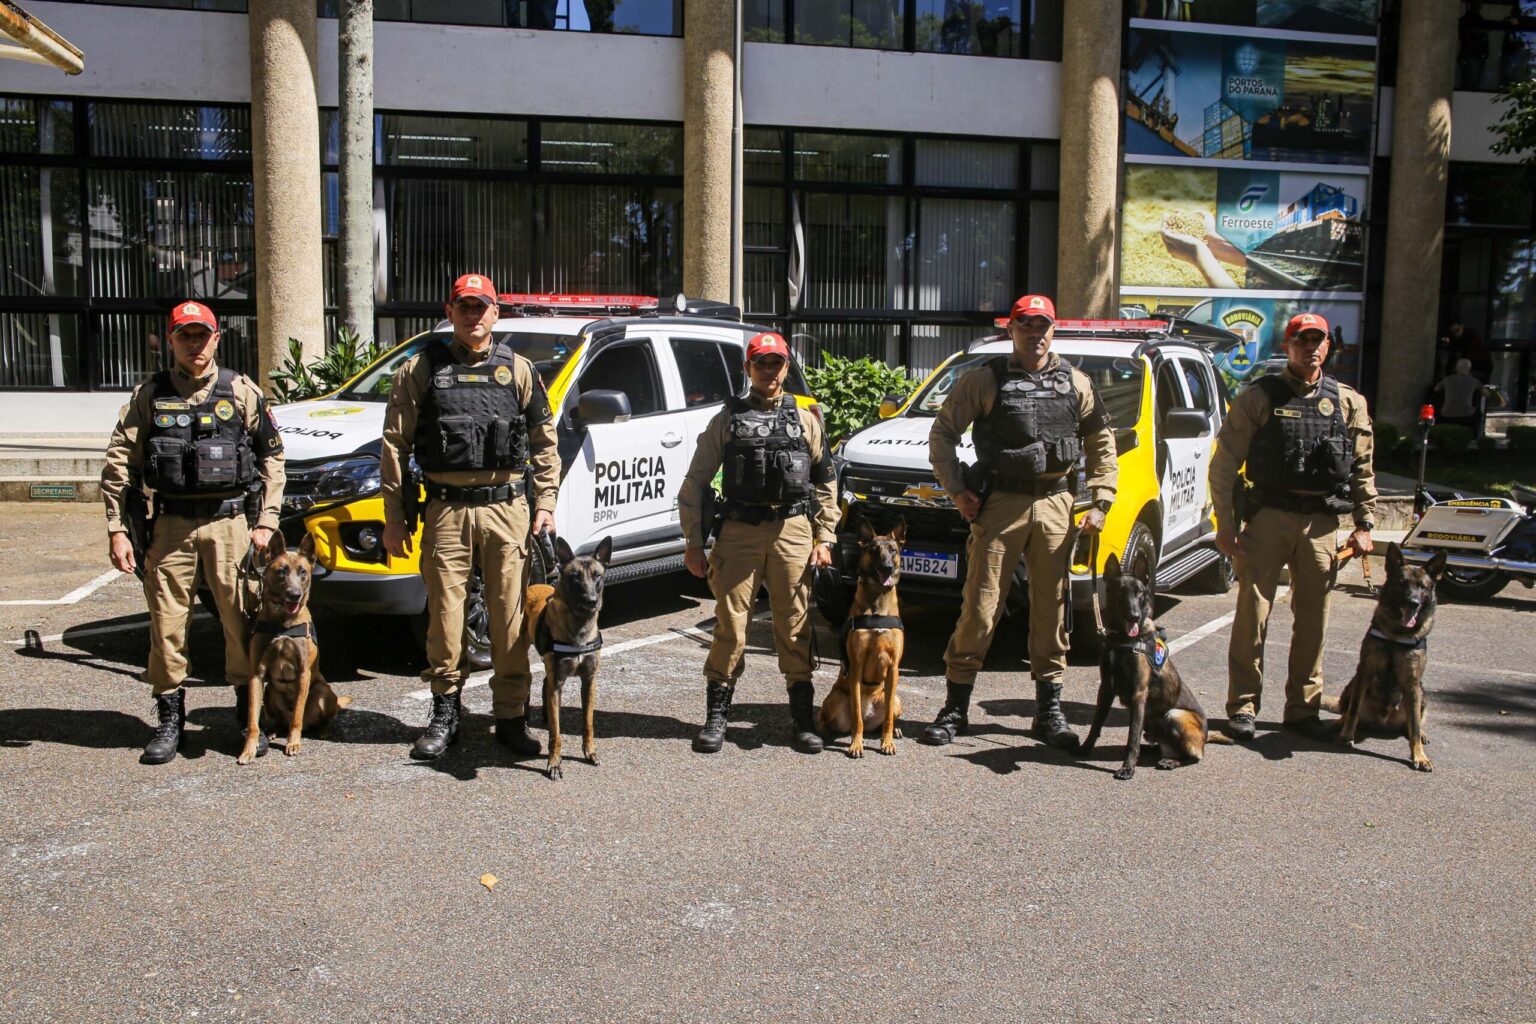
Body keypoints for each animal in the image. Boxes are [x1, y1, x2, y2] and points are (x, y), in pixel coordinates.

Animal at [236, 534, 348, 764]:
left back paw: (323, 730)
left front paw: (293, 743)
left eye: (303, 572)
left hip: (322, 690)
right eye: (281, 571)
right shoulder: (257, 675)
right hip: (270, 691)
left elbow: (297, 714)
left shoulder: (304, 673)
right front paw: (249, 749)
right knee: (275, 719)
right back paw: (272, 731)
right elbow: (252, 721)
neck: (282, 622)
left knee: (318, 717)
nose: (295, 594)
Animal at [519, 534, 608, 779]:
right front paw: (554, 763)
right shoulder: (558, 682)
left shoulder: (589, 681)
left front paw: (590, 753)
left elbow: (588, 723)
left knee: (544, 683)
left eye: (597, 575)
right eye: (575, 576)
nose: (592, 600)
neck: (579, 626)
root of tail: (533, 585)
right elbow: (555, 734)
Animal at [811, 515, 903, 758]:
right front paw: (856, 744)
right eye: (874, 550)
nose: (887, 567)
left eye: (893, 550)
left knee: (887, 715)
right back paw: (821, 731)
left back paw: (894, 731)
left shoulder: (893, 668)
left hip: (896, 698)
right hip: (837, 697)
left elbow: (888, 718)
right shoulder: (856, 666)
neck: (878, 603)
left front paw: (887, 742)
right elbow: (856, 717)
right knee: (831, 717)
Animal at [1075, 555, 1228, 779]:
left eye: (1140, 592)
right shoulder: (1105, 689)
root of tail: (1206, 737)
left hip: (1174, 715)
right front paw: (1085, 748)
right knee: (1158, 745)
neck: (1123, 638)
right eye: (1121, 591)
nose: (1134, 615)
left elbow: (1132, 735)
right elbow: (1096, 724)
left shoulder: (1139, 694)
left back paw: (1170, 761)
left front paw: (1128, 767)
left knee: (1193, 756)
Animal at [1327, 543, 1443, 767]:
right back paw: (1339, 723)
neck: (1397, 635)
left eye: (1422, 587)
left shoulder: (1412, 682)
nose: (1413, 603)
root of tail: (1382, 722)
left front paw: (1419, 755)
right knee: (1349, 710)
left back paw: (1422, 734)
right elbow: (1353, 711)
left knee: (1413, 723)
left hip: (1421, 693)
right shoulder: (1365, 670)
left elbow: (1415, 726)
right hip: (1352, 685)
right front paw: (1346, 737)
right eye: (1402, 583)